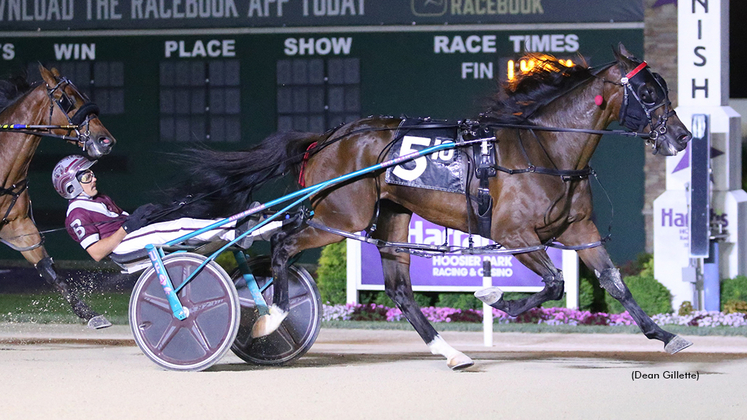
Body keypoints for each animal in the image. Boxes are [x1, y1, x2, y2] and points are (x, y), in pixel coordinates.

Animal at [167, 44, 692, 370]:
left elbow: (615, 283)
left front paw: (667, 337)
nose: (683, 137)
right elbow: (554, 282)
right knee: (280, 242)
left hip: (392, 215)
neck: (545, 150)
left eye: (664, 88)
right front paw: (497, 300)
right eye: (649, 92)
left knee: (400, 289)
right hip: (339, 217)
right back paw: (271, 314)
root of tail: (327, 138)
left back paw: (451, 352)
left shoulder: (579, 230)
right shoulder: (514, 233)